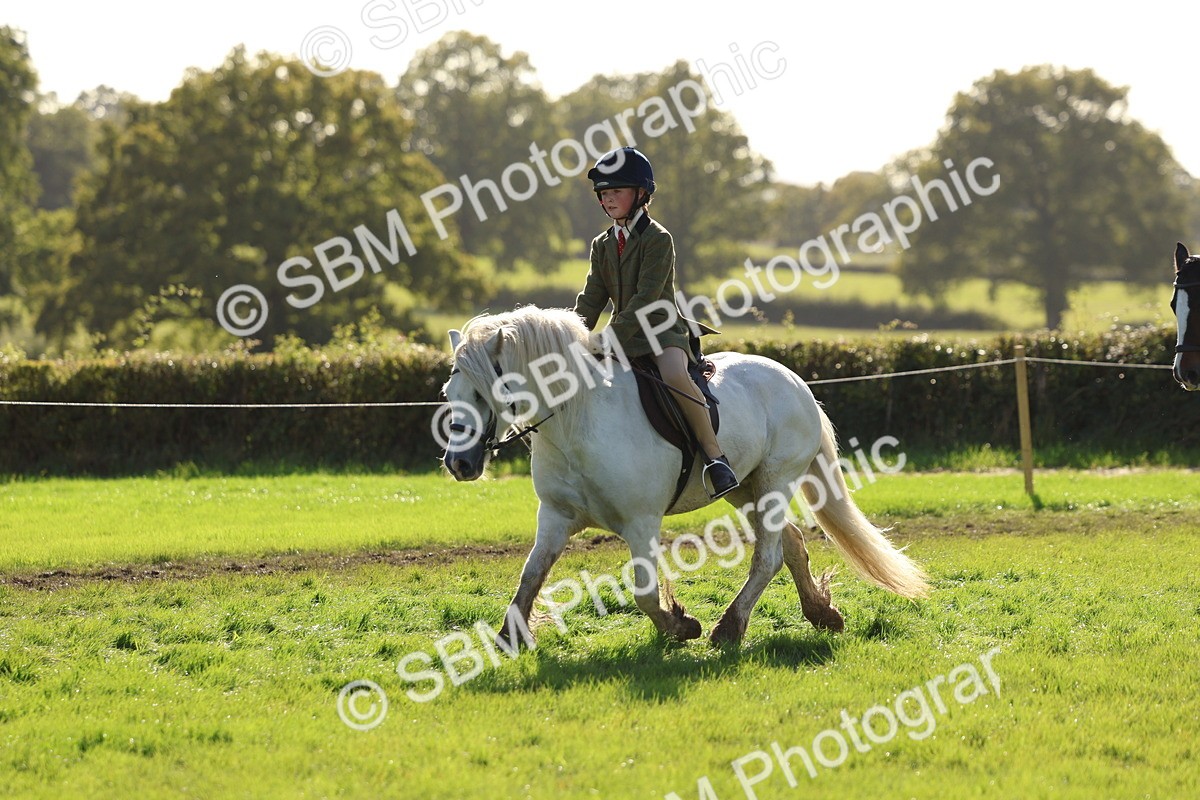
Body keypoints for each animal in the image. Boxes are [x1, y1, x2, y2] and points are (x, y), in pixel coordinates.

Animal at [440, 305, 929, 647]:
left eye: (486, 393)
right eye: (449, 392)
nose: (458, 465)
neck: (577, 421)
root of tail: (794, 380)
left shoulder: (640, 523)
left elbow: (643, 592)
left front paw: (681, 626)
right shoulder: (556, 518)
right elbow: (530, 577)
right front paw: (511, 638)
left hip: (775, 480)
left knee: (769, 556)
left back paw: (729, 628)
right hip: (744, 489)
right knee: (789, 542)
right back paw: (819, 614)